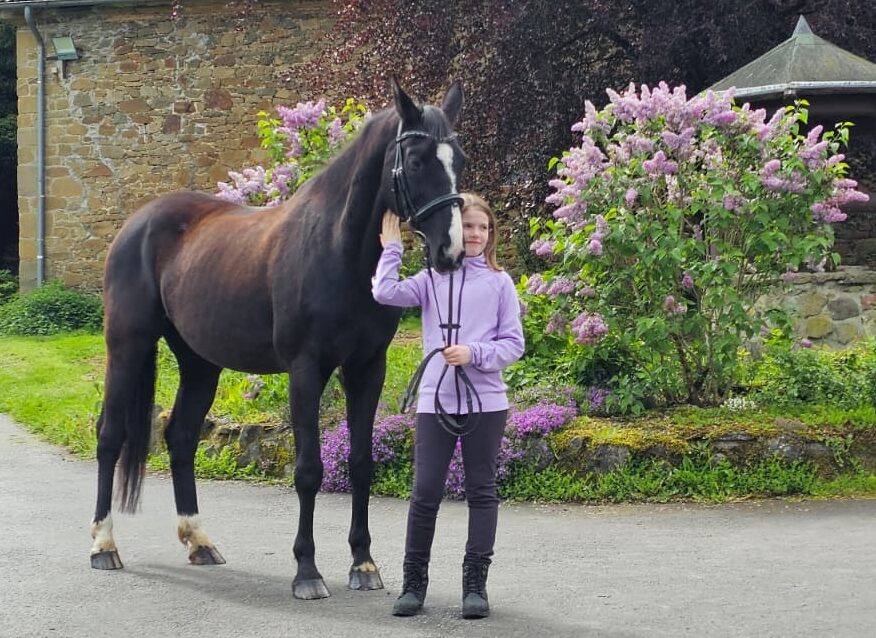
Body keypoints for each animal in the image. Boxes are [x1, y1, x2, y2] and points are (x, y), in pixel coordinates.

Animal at [89, 79, 466, 600]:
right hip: (127, 346)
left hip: (200, 363)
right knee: (110, 436)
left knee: (181, 437)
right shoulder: (305, 370)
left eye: (459, 160)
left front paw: (364, 564)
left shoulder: (367, 369)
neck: (337, 249)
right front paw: (307, 571)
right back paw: (103, 545)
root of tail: (137, 222)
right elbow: (307, 470)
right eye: (415, 161)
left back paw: (200, 541)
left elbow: (361, 463)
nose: (452, 252)